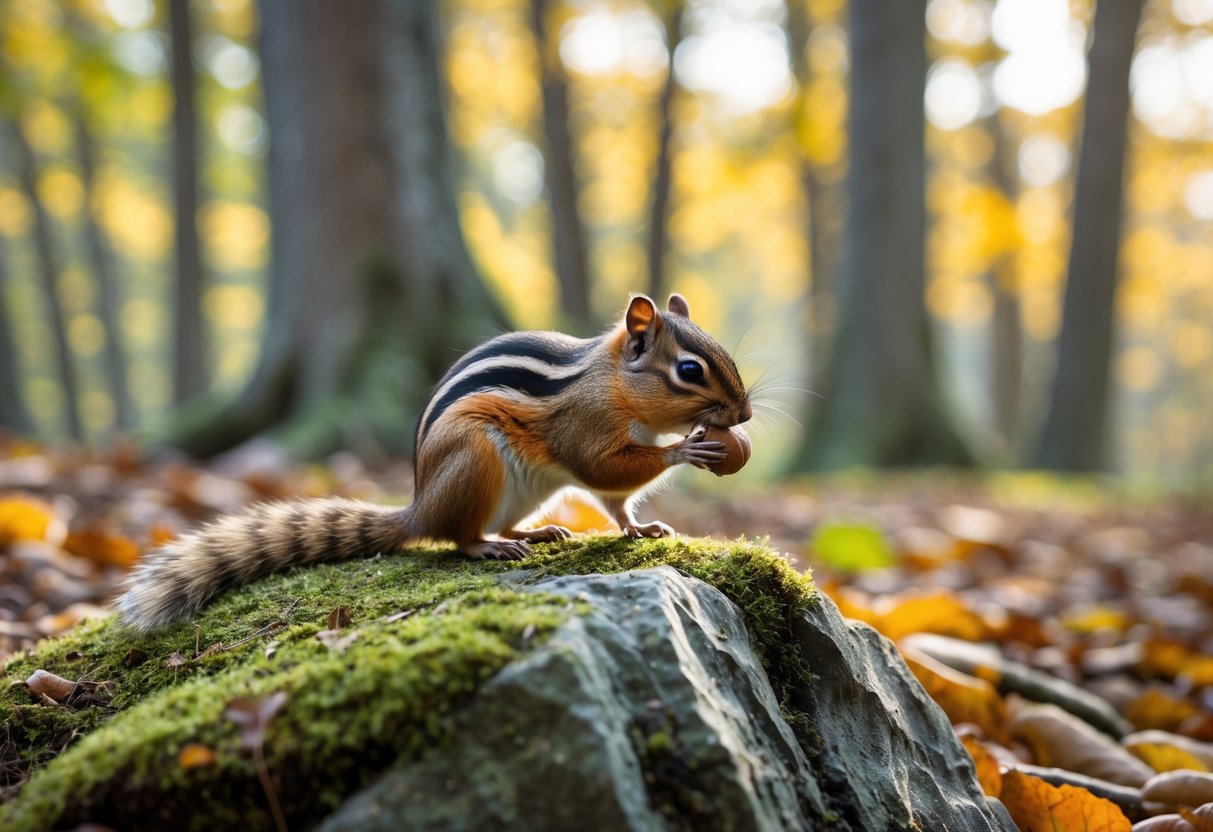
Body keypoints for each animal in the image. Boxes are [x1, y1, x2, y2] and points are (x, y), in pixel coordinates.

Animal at [116, 294, 752, 631]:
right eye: (689, 371)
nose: (744, 414)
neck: (616, 382)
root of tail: (419, 506)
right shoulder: (585, 430)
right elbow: (604, 471)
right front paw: (686, 448)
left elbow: (618, 507)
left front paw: (643, 528)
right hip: (475, 458)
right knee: (459, 536)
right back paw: (488, 548)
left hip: (524, 488)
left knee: (499, 522)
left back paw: (535, 533)